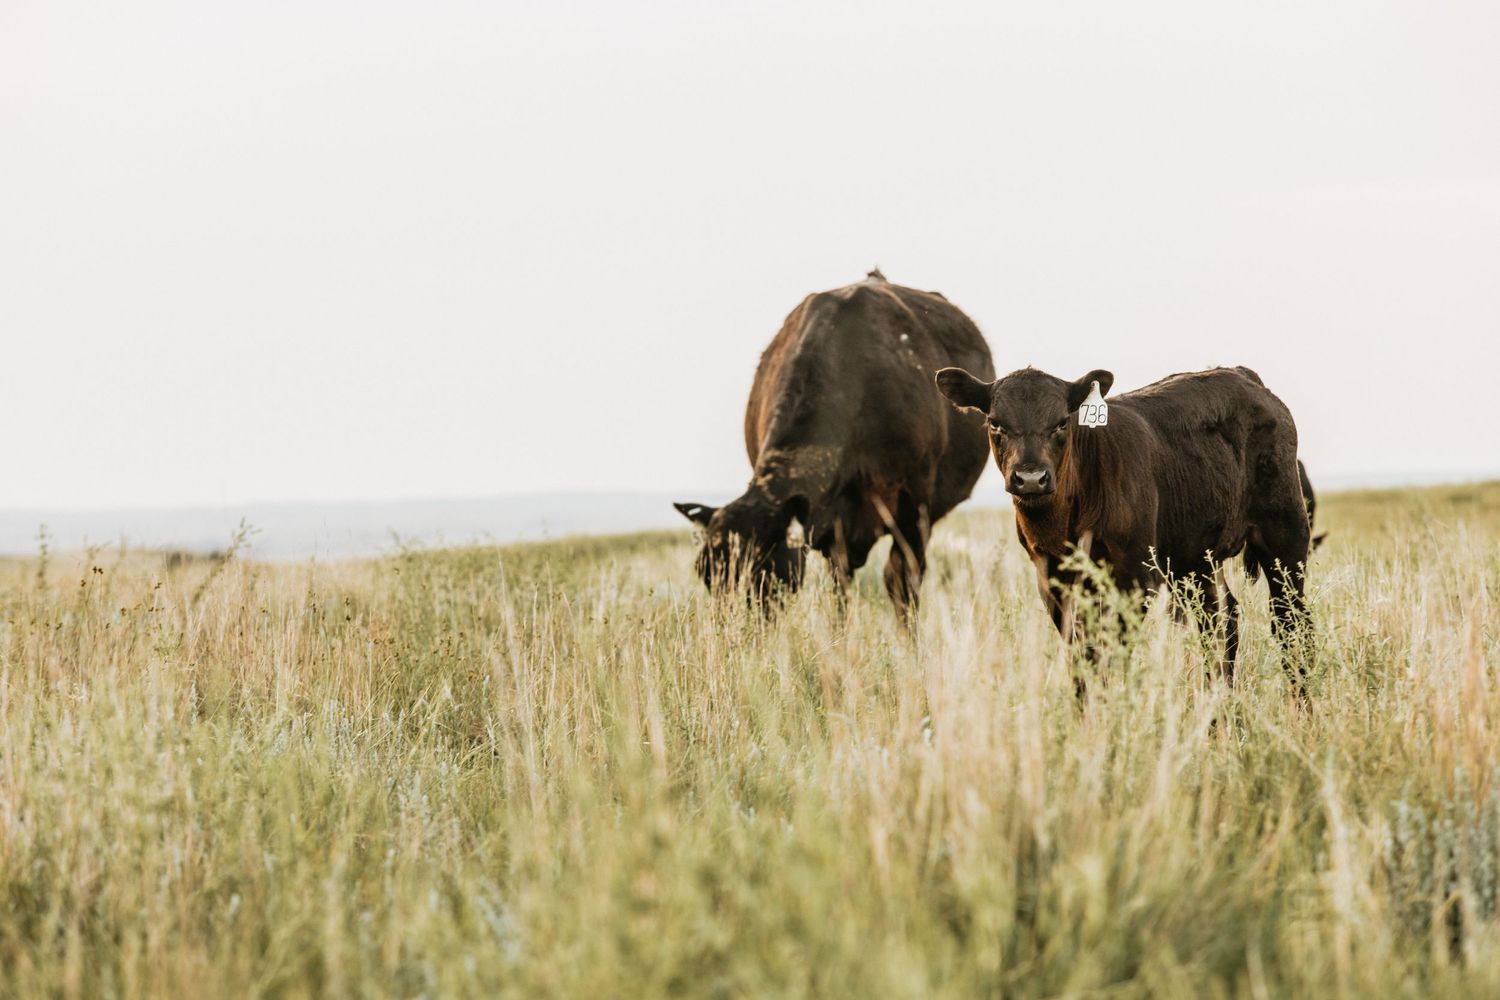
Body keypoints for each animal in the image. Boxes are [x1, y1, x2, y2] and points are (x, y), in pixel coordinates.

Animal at [675, 270, 994, 611]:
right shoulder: (832, 527)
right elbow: (839, 589)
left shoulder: (915, 508)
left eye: (762, 569)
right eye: (704, 572)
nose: (730, 623)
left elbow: (903, 584)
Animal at [934, 363, 1312, 692]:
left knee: (1291, 622)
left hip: (1285, 535)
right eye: (995, 423)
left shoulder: (1133, 576)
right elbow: (1080, 655)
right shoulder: (1051, 579)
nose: (1030, 478)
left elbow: (1111, 652)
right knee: (1222, 619)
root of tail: (1243, 376)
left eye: (1061, 423)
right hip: (1194, 559)